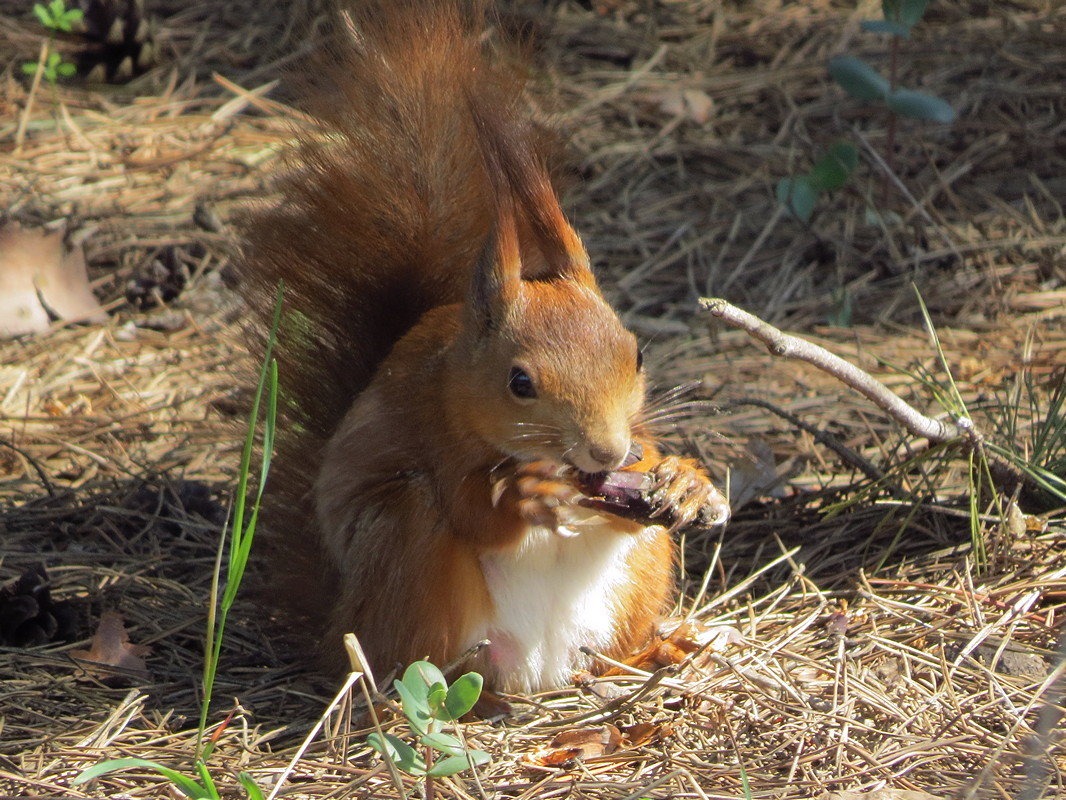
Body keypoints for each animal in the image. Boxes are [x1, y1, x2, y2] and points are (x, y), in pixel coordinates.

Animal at [236, 1, 729, 695]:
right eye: (519, 383)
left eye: (637, 356)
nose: (607, 452)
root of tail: (538, 669)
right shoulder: (436, 429)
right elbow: (473, 512)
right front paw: (521, 496)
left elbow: (645, 467)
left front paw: (687, 481)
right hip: (404, 561)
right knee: (411, 657)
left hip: (640, 570)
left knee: (616, 645)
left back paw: (663, 649)